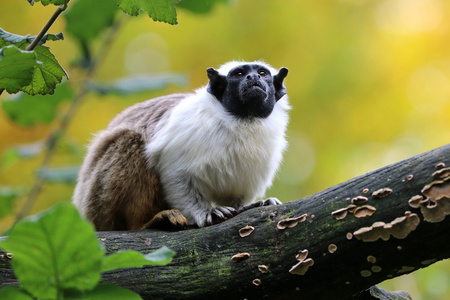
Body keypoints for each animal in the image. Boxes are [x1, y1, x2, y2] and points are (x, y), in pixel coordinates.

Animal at [72, 60, 290, 230]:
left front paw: (248, 205)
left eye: (262, 73)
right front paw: (206, 212)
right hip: (97, 205)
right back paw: (148, 222)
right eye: (239, 74)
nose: (253, 78)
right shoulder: (187, 128)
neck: (242, 120)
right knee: (130, 140)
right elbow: (174, 172)